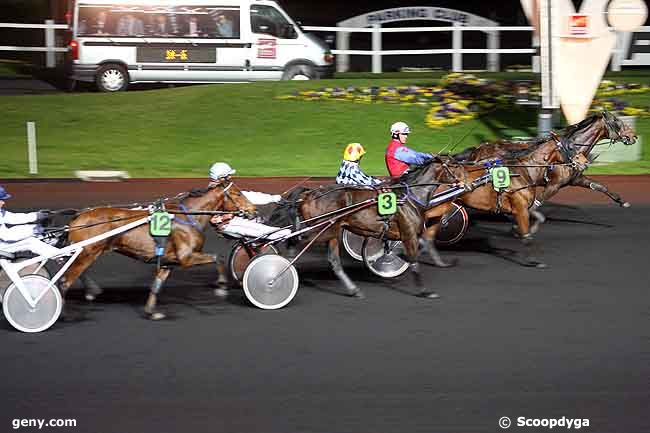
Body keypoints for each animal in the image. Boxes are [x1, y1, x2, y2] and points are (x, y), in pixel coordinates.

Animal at [59, 178, 254, 318]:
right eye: (237, 194)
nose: (253, 210)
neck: (189, 216)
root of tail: (78, 216)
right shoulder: (186, 258)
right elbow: (217, 258)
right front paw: (221, 288)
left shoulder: (168, 261)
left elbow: (156, 285)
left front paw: (151, 311)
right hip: (87, 252)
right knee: (65, 281)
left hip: (86, 253)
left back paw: (92, 291)